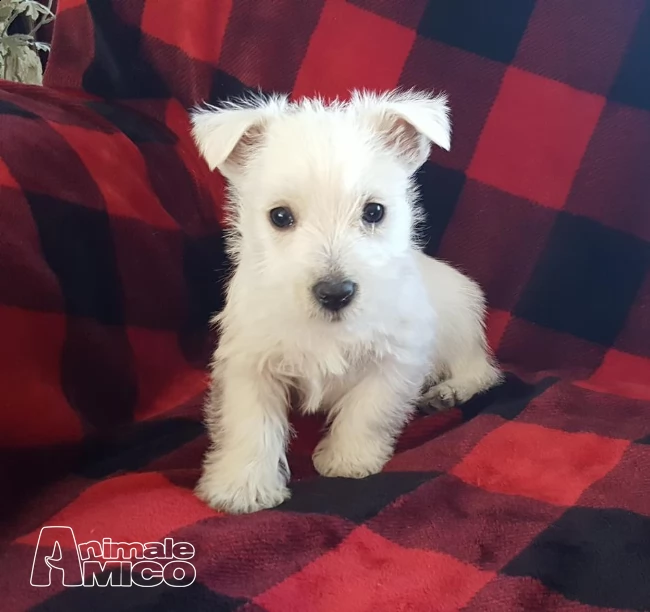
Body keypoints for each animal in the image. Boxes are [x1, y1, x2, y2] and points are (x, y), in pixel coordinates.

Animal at [187, 89, 502, 512]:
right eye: (280, 216)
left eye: (374, 211)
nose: (336, 293)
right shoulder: (249, 361)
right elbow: (249, 423)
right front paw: (242, 486)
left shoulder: (396, 358)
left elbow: (367, 410)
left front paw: (348, 459)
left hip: (460, 326)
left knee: (480, 369)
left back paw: (448, 392)